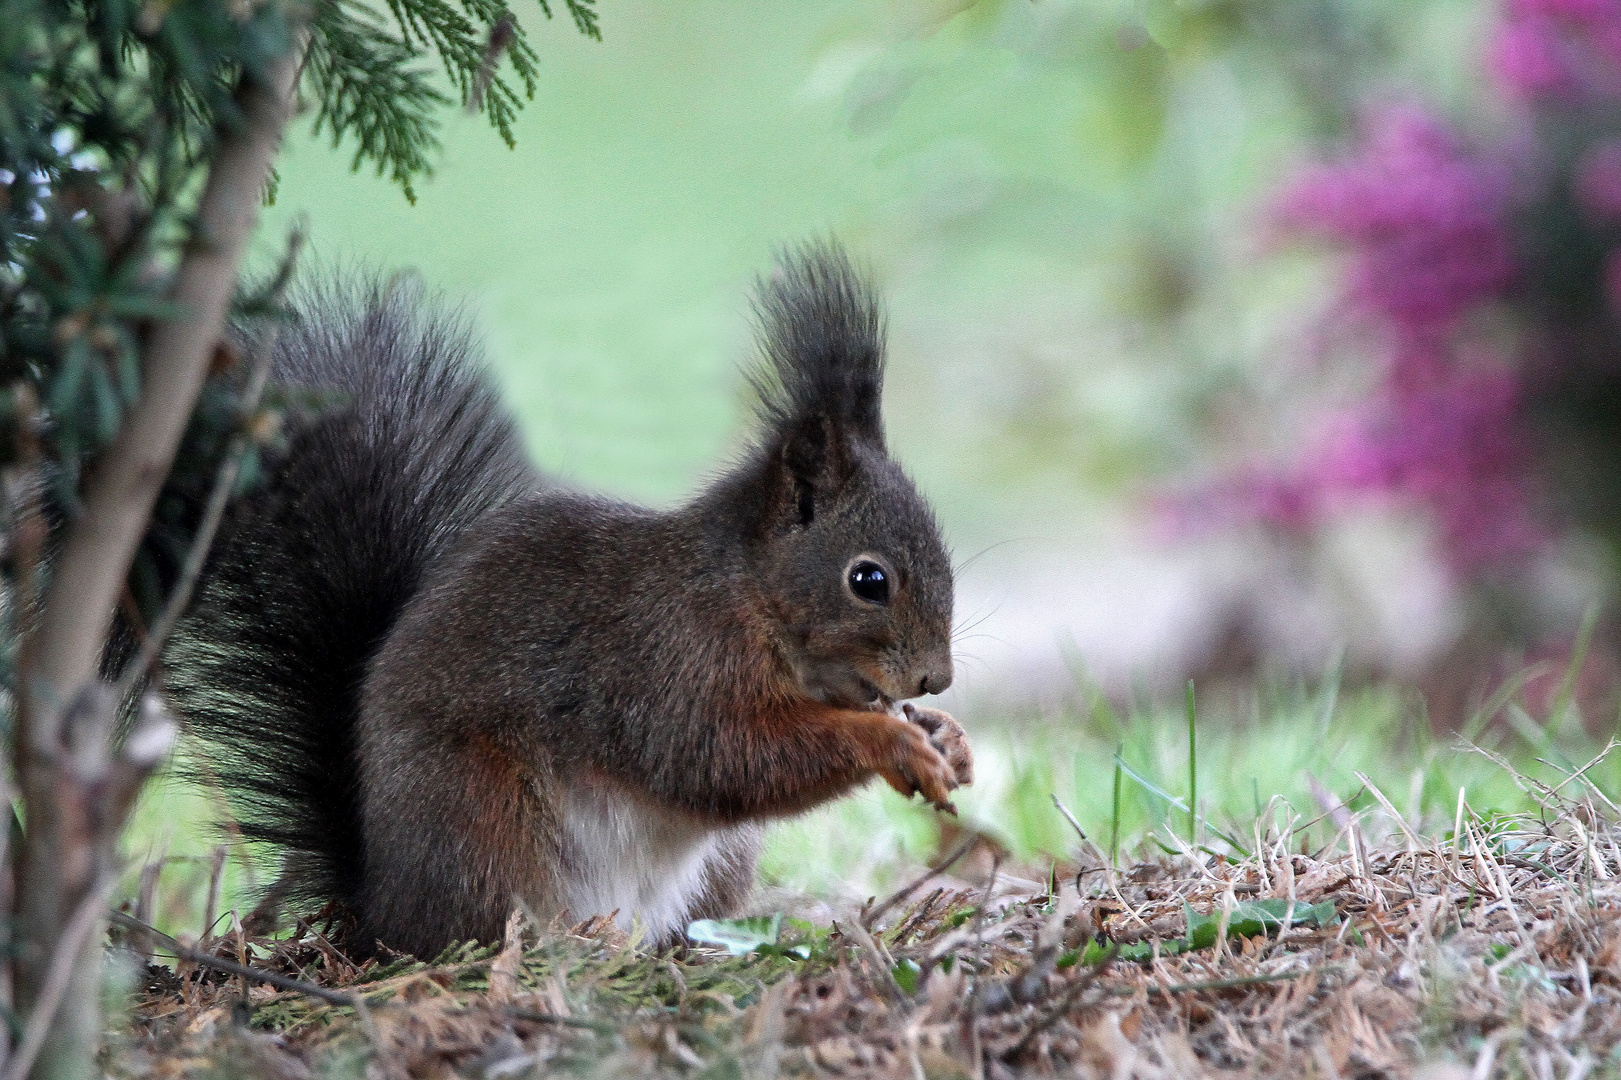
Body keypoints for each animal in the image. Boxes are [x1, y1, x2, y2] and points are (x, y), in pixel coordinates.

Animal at [166, 241, 972, 953]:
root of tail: (378, 907)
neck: (748, 596)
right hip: (483, 817)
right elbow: (720, 756)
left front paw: (948, 739)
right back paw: (567, 946)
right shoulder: (668, 662)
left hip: (717, 861)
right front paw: (892, 742)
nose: (936, 678)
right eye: (868, 580)